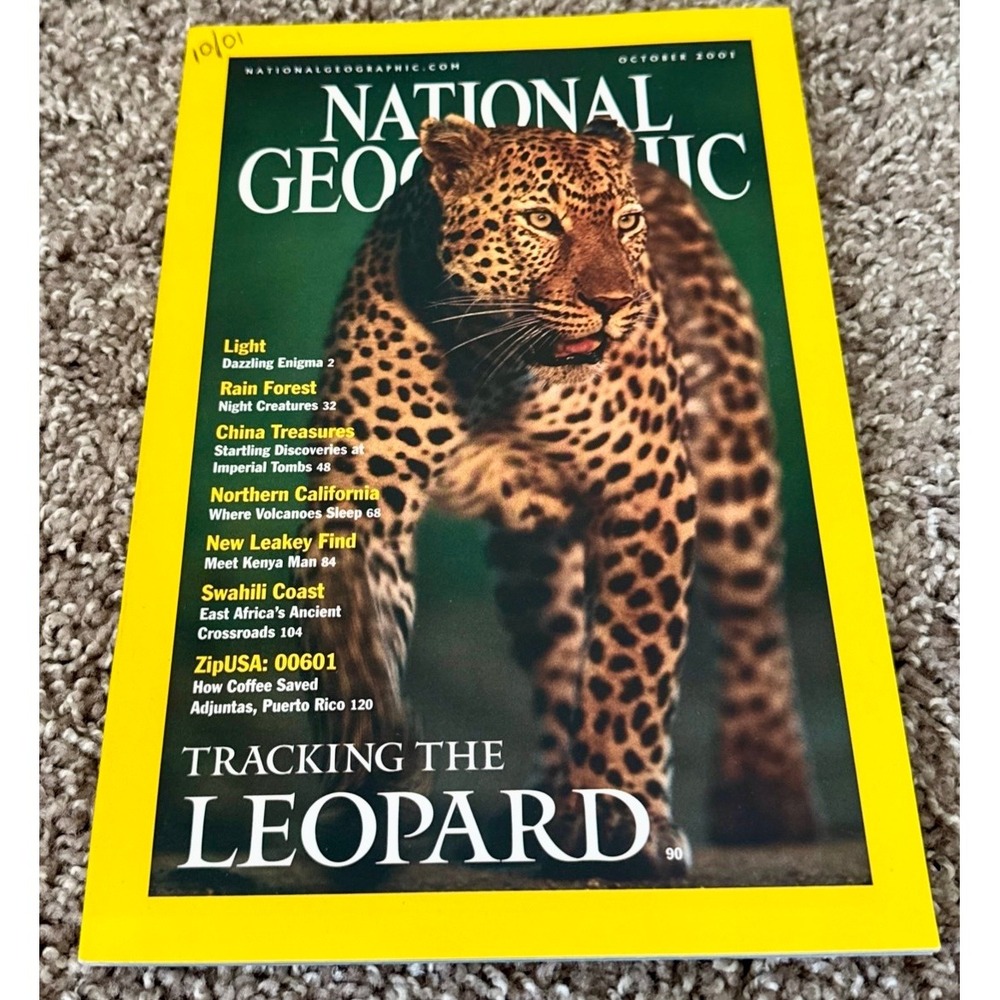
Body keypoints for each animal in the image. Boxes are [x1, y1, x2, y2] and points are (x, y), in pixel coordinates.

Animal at [296, 114, 816, 879]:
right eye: (541, 220)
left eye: (626, 224)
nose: (614, 305)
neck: (493, 363)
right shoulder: (362, 489)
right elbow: (352, 633)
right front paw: (373, 779)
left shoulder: (647, 484)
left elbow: (632, 662)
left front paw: (622, 818)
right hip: (533, 558)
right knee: (560, 660)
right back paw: (549, 810)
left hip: (733, 470)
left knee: (755, 622)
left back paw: (767, 796)